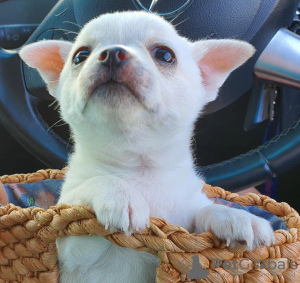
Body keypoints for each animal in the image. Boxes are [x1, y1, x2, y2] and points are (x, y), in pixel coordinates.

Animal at [19, 11, 276, 283]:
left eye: (165, 55)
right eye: (80, 56)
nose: (112, 53)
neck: (138, 165)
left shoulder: (187, 215)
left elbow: (203, 210)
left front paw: (237, 216)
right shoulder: (69, 244)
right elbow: (96, 184)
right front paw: (121, 196)